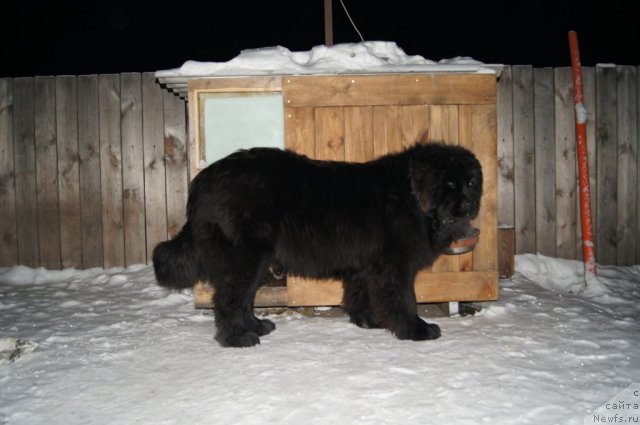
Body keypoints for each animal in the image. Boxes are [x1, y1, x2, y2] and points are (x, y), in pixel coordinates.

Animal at [155, 141, 482, 346]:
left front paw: (367, 321)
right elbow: (405, 299)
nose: (467, 208)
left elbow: (360, 294)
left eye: (470, 183)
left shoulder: (368, 264)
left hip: (257, 260)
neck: (412, 197)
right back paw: (237, 337)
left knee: (243, 297)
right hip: (245, 257)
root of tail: (202, 182)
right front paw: (415, 329)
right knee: (229, 298)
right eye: (449, 183)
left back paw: (256, 325)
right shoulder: (395, 265)